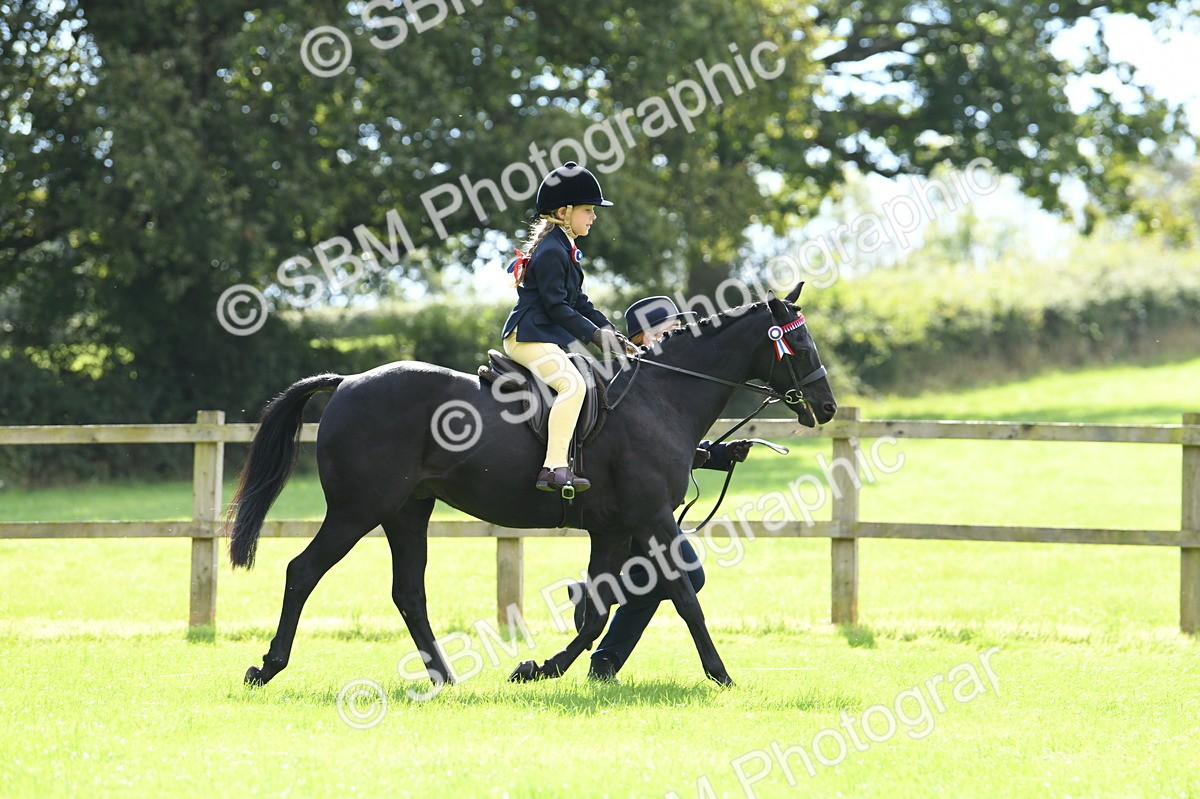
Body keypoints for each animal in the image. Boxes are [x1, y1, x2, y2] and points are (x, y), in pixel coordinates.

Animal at [228, 282, 836, 689]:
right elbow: (683, 594)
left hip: (407, 511)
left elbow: (599, 609)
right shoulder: (652, 519)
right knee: (302, 572)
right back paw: (268, 666)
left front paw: (540, 667)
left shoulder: (614, 530)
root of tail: (348, 381)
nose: (827, 408)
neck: (661, 394)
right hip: (358, 511)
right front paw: (720, 673)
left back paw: (444, 677)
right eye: (801, 346)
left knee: (408, 593)